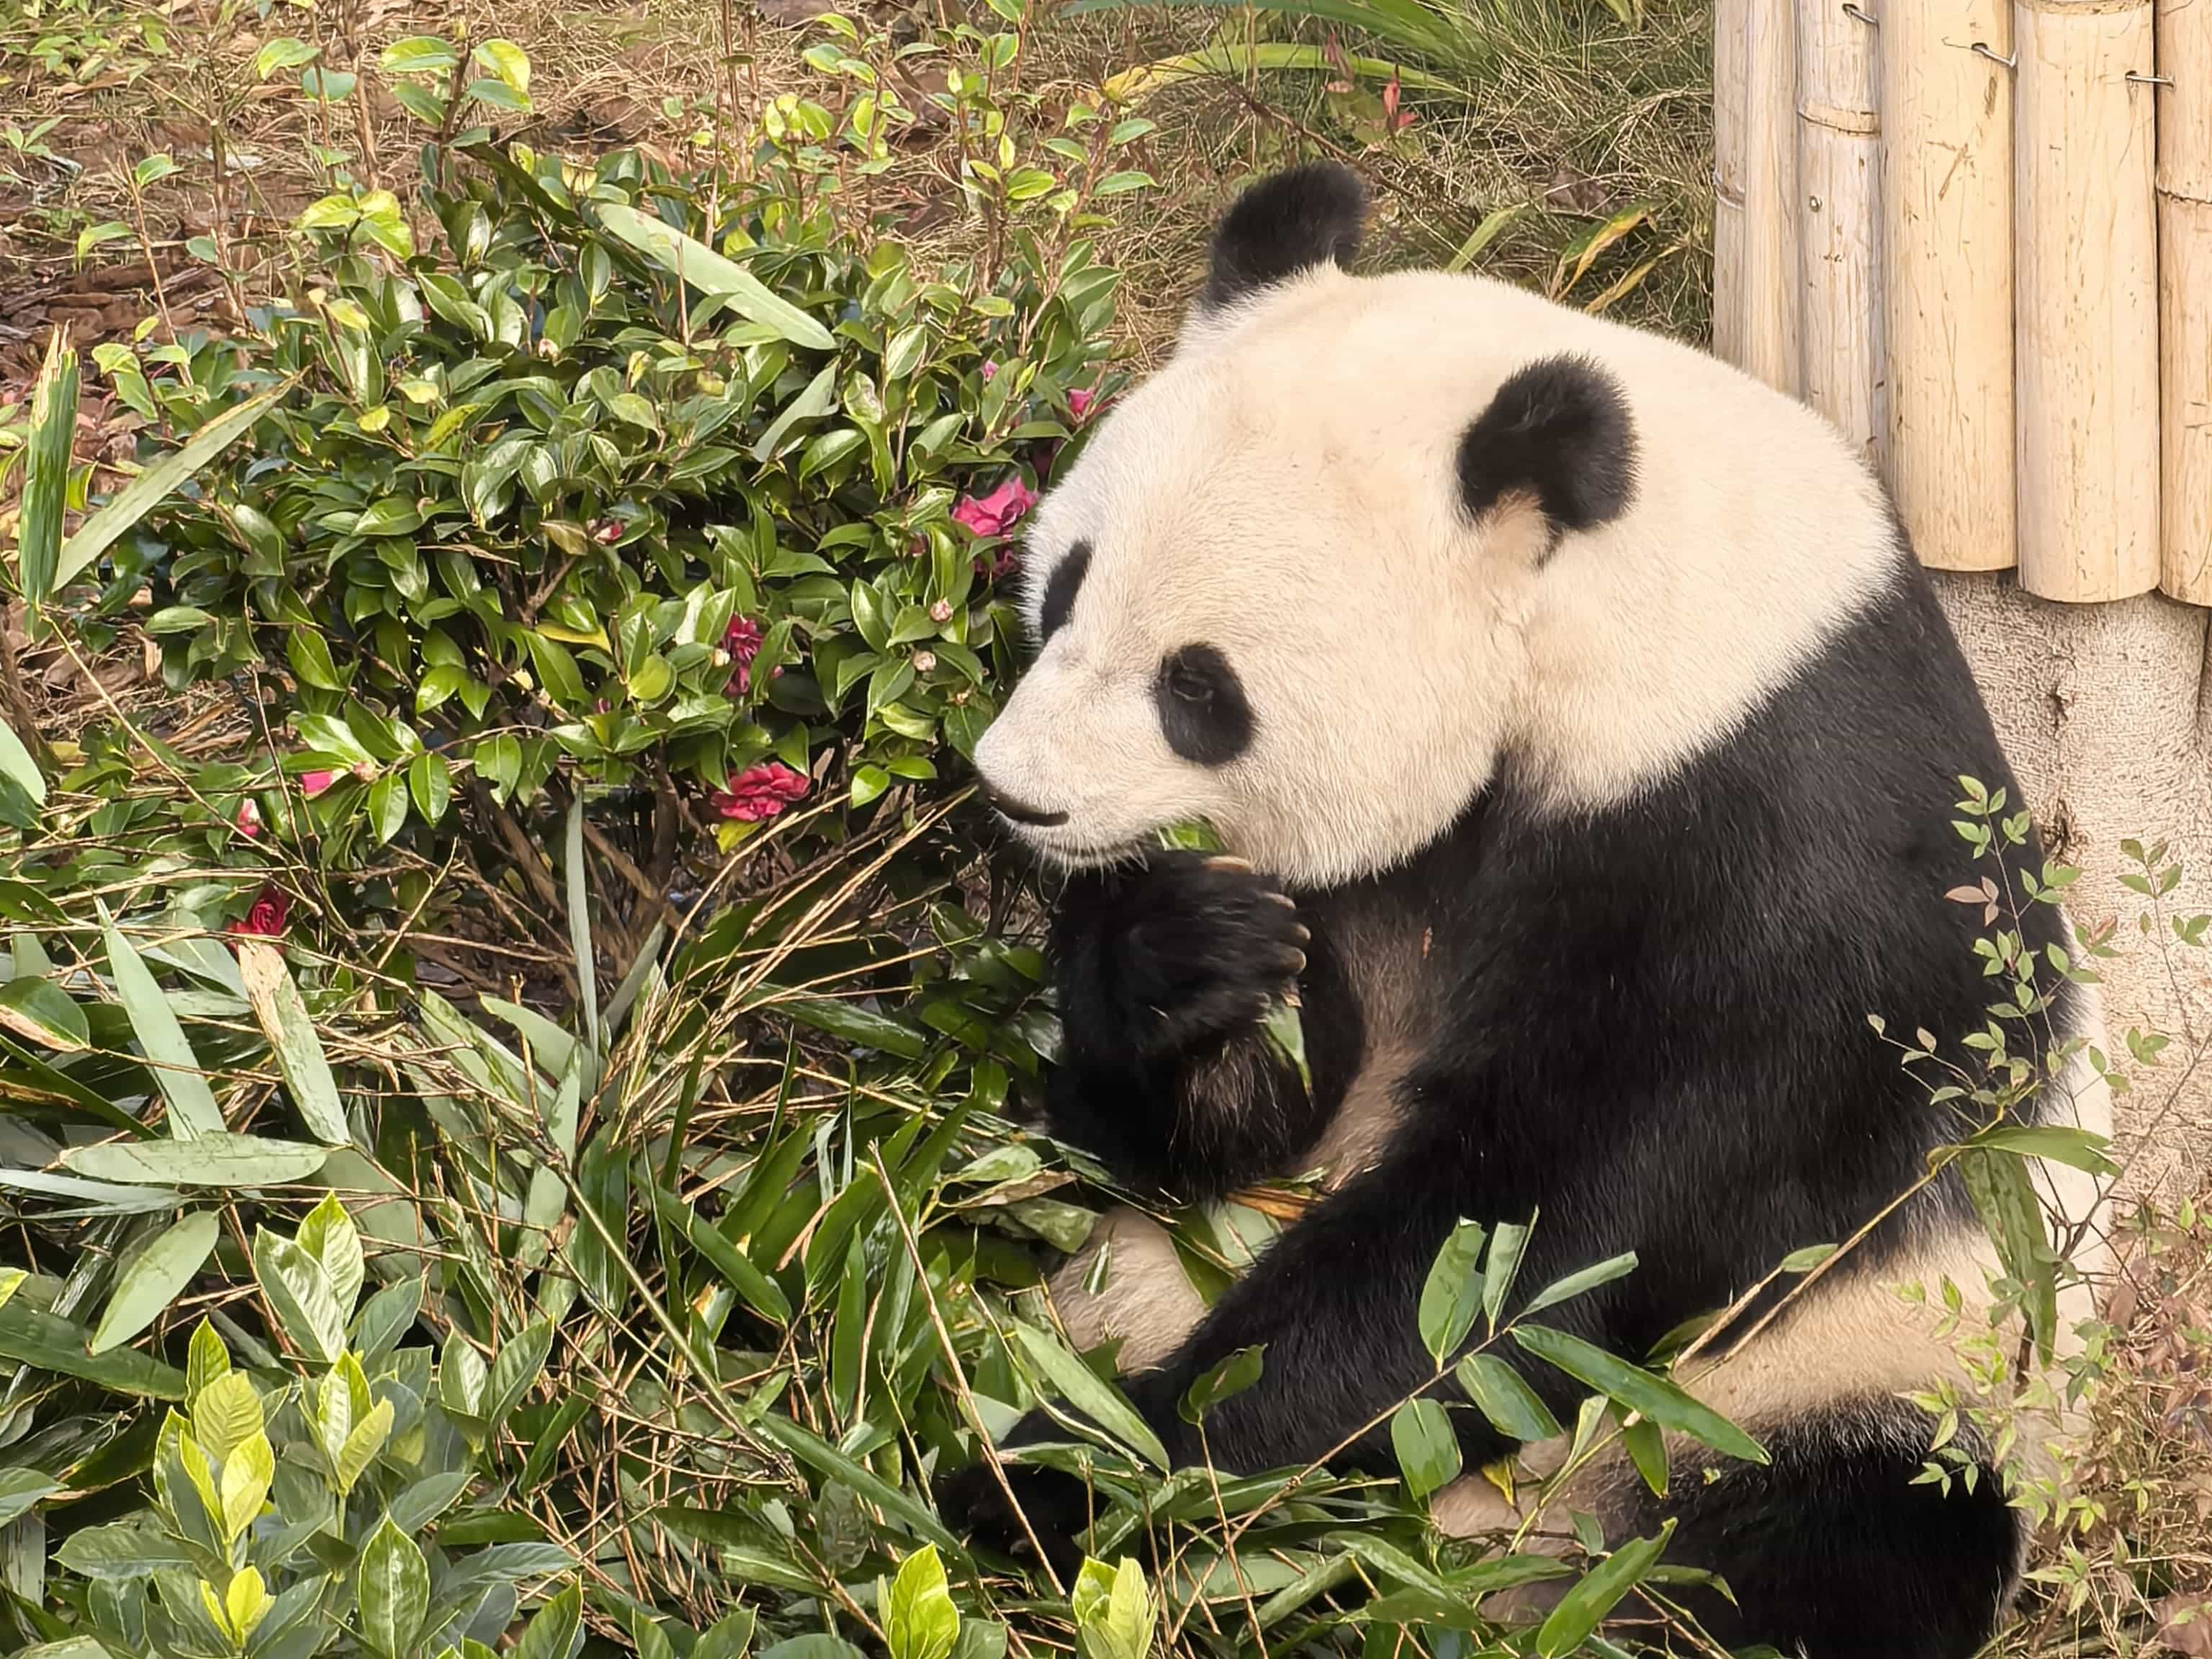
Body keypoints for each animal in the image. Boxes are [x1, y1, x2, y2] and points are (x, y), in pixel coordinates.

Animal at [939, 162, 2113, 1657]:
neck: (1632, 621)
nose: (1015, 791)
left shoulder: (1784, 863)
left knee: (1827, 1543)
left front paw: (1072, 1473)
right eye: (1067, 582)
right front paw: (1194, 954)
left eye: (1197, 685)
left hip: (1867, 1366)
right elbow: (1235, 1134)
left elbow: (1538, 1246)